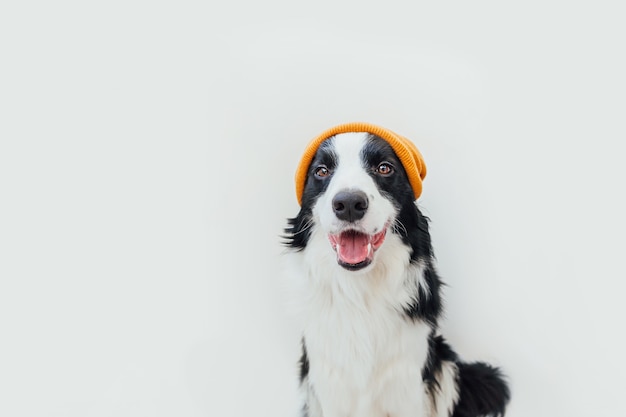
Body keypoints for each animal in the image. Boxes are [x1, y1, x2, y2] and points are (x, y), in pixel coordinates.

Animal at [282, 123, 508, 416]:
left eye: (384, 168)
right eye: (321, 171)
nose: (349, 204)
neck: (360, 291)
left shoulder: (407, 379)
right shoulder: (329, 380)